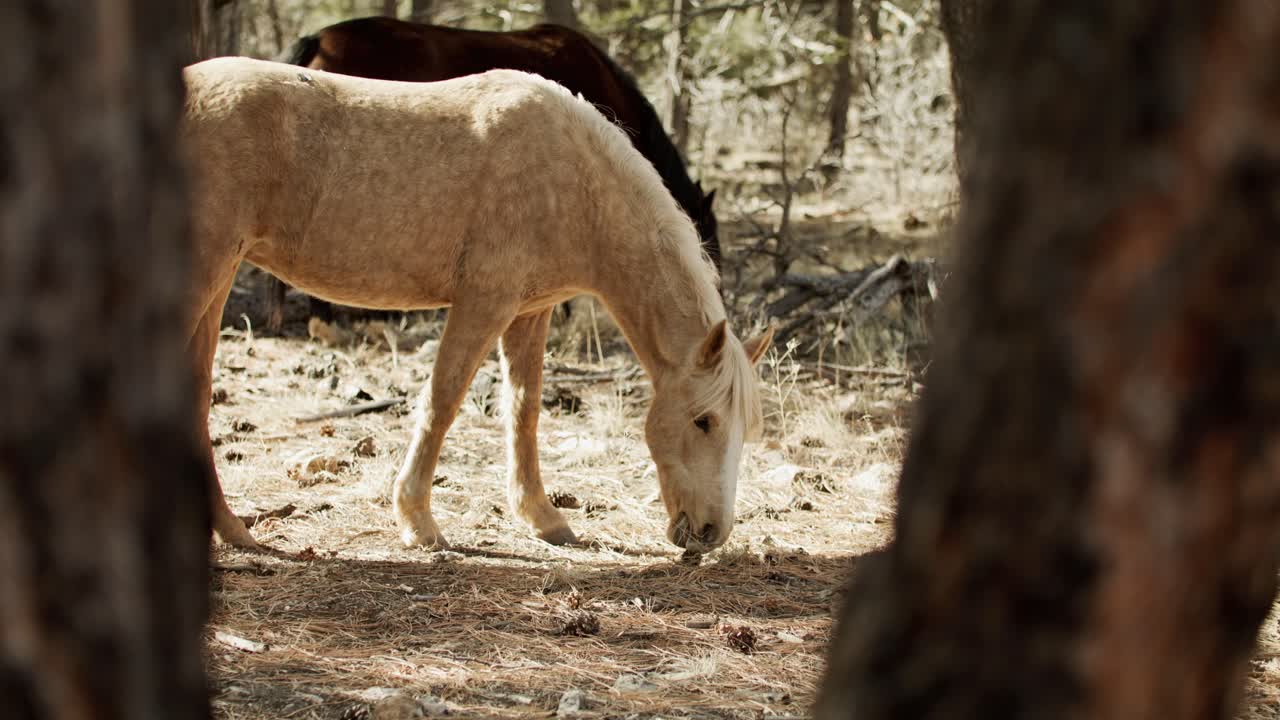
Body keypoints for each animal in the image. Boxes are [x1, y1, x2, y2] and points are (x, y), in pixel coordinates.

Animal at [182, 57, 772, 551]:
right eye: (703, 421)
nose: (712, 533)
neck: (574, 182)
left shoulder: (530, 312)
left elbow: (524, 409)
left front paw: (543, 517)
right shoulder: (484, 301)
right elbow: (442, 401)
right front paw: (418, 522)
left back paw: (232, 531)